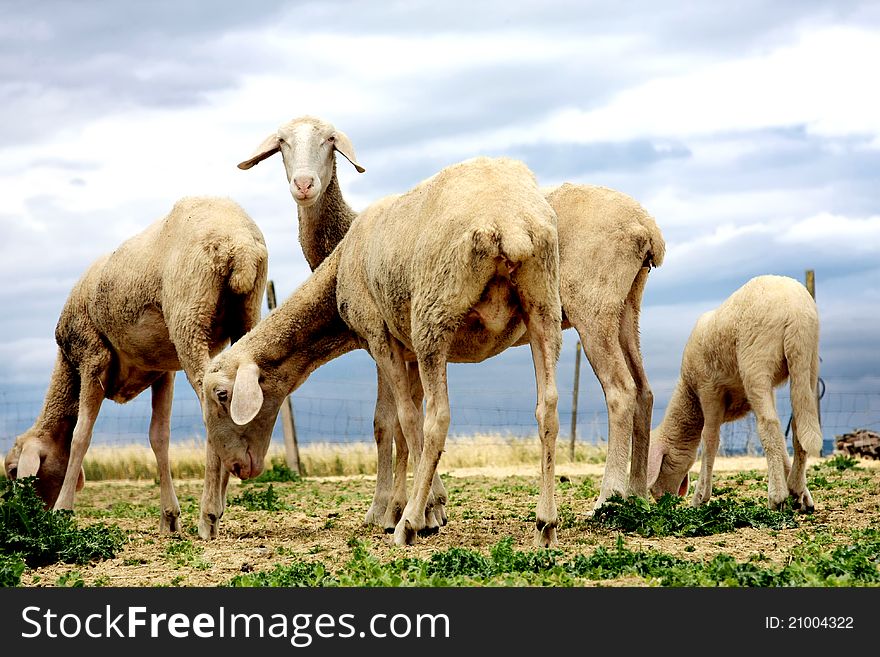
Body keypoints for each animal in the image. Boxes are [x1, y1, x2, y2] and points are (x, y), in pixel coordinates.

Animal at [2, 196, 268, 532]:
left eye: (13, 470)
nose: (22, 515)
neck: (68, 366)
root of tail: (239, 244)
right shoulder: (161, 370)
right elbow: (159, 437)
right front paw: (169, 518)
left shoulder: (93, 357)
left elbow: (80, 436)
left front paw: (63, 510)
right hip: (246, 312)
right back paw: (220, 501)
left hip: (189, 316)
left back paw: (208, 512)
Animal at [201, 155, 564, 548]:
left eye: (222, 395)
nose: (238, 467)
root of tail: (508, 223)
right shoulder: (407, 350)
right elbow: (401, 430)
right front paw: (414, 506)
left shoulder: (380, 337)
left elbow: (404, 420)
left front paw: (420, 512)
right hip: (543, 308)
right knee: (547, 408)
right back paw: (545, 524)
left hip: (433, 318)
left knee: (438, 417)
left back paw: (408, 527)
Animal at [237, 116, 664, 528]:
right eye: (282, 144)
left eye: (329, 141)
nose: (304, 184)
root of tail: (648, 229)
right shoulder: (405, 347)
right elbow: (402, 422)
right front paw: (403, 506)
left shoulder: (383, 341)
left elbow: (386, 423)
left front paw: (394, 509)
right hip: (626, 306)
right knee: (644, 390)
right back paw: (636, 496)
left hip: (593, 306)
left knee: (620, 391)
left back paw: (607, 499)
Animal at [644, 274, 820, 510]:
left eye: (661, 466)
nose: (662, 501)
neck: (690, 394)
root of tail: (795, 311)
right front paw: (797, 489)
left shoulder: (708, 389)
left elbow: (709, 438)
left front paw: (700, 496)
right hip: (807, 360)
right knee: (798, 424)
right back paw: (796, 487)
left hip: (756, 361)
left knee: (769, 424)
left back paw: (776, 496)